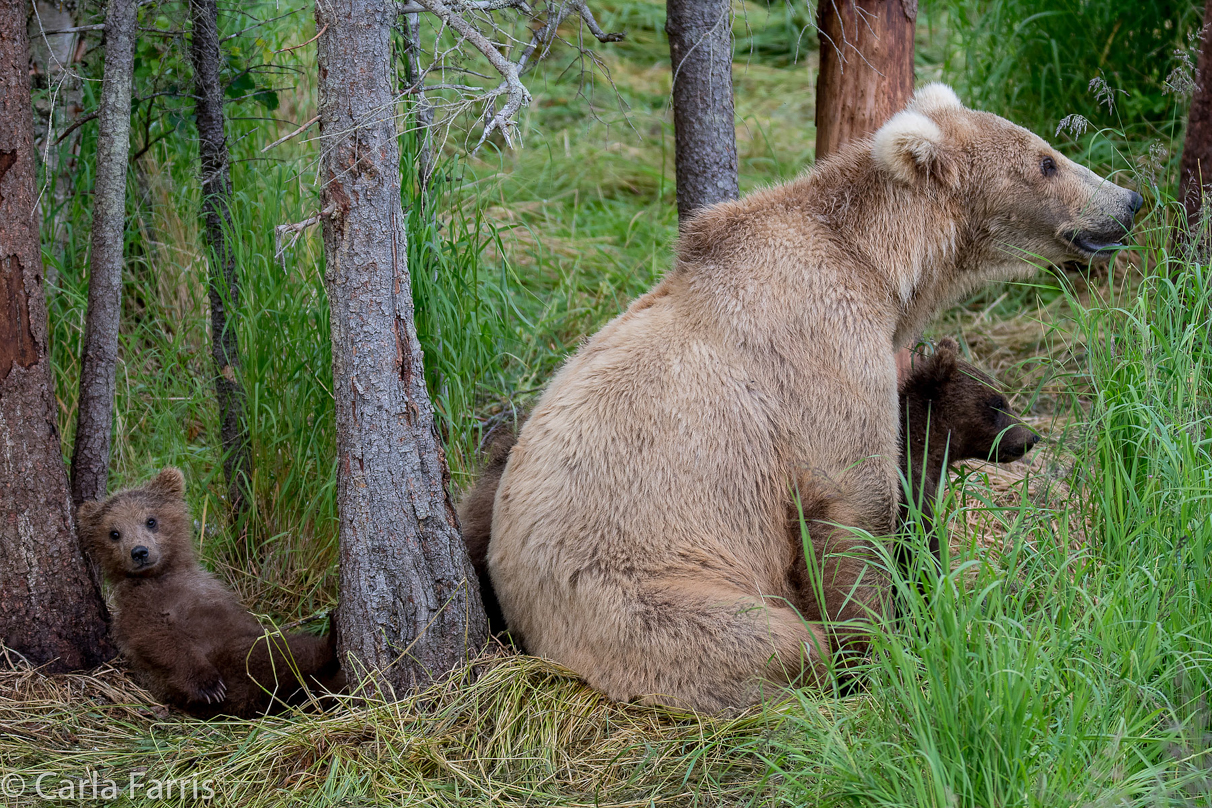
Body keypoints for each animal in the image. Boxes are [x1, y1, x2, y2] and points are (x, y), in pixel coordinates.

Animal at [487, 85, 1139, 712]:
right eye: (1047, 160)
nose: (1129, 200)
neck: (882, 265)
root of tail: (524, 624)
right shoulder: (821, 349)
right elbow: (856, 503)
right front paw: (877, 650)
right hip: (646, 597)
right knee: (768, 639)